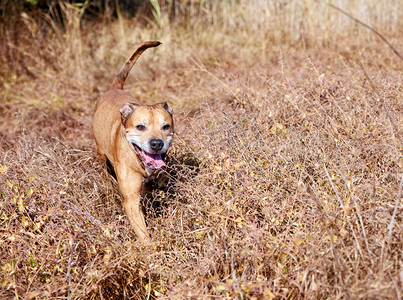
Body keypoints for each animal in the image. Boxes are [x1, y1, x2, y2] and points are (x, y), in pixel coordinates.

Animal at [94, 41, 174, 243]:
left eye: (165, 126)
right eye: (140, 127)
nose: (156, 144)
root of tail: (114, 88)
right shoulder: (131, 200)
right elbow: (143, 234)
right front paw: (151, 249)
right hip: (100, 155)